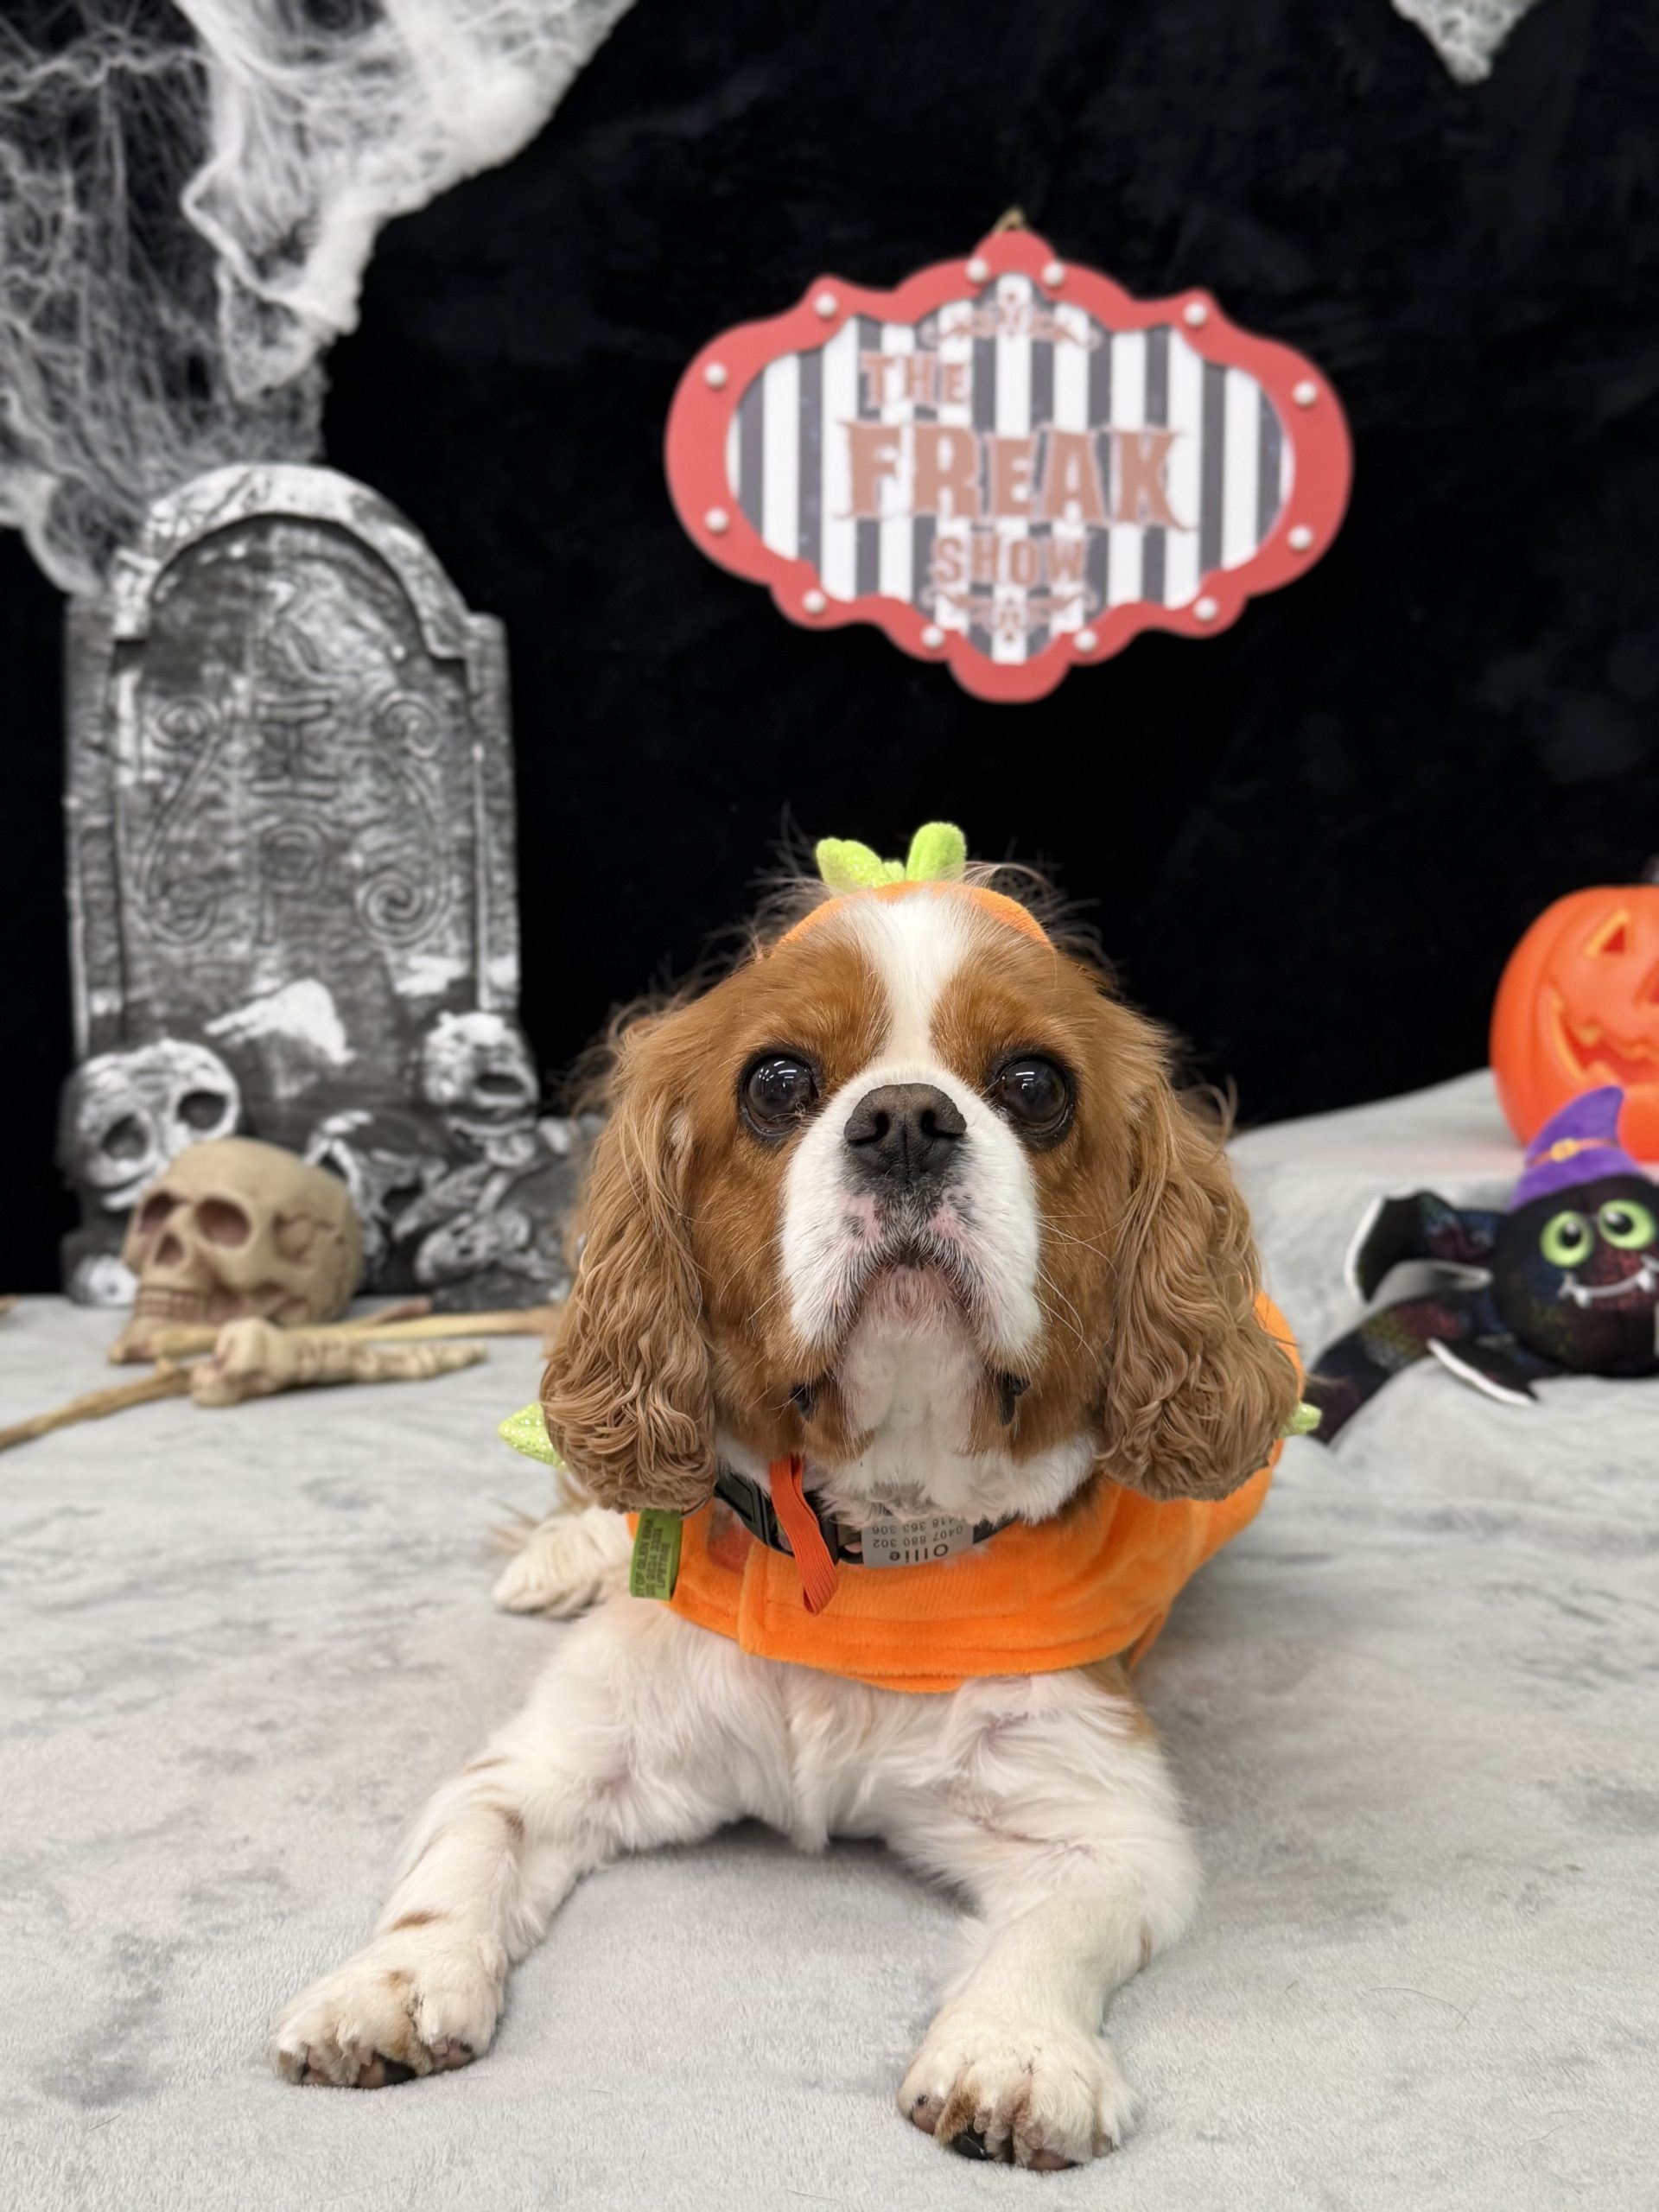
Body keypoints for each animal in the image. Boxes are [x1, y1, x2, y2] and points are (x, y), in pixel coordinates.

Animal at [273, 848, 1300, 2168]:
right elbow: (468, 1850)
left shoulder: (1105, 1829)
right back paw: (568, 1553)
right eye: (777, 1083)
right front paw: (392, 1982)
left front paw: (1015, 2050)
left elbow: (1051, 1937)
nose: (906, 1121)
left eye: (1035, 1085)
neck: (864, 1547)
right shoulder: (560, 1758)